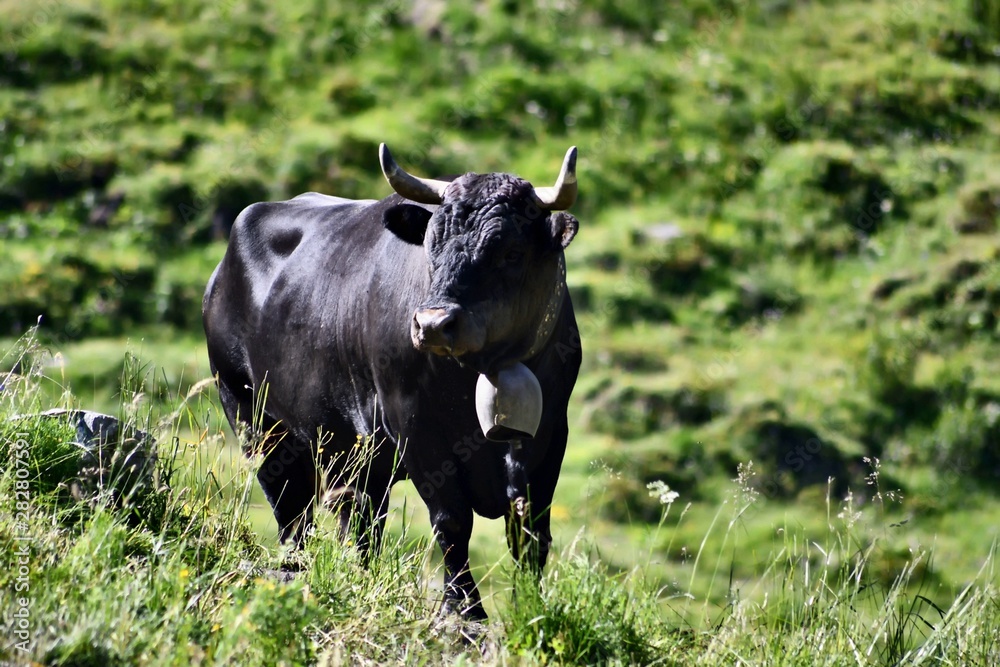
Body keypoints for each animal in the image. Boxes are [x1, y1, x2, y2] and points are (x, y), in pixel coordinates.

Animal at [202, 144, 582, 620]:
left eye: (510, 251)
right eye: (432, 243)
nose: (433, 324)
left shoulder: (551, 432)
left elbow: (530, 531)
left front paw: (529, 605)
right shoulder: (416, 429)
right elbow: (452, 520)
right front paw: (463, 610)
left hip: (348, 447)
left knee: (358, 517)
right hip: (250, 412)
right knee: (290, 502)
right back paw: (294, 569)